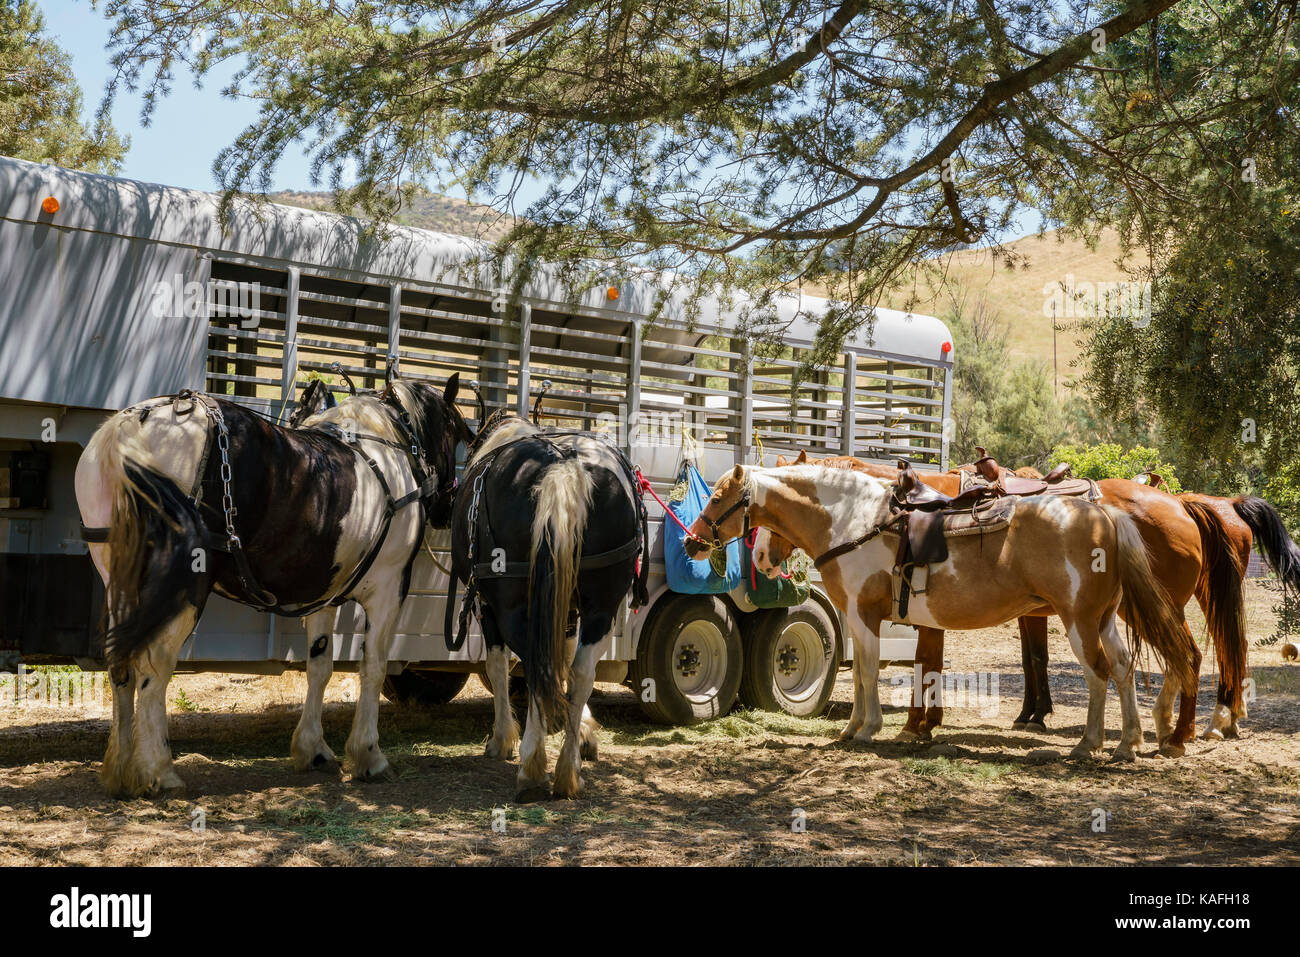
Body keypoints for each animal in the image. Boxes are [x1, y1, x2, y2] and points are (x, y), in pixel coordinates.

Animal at [74, 374, 473, 800]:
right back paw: (159, 769)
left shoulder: (325, 595)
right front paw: (368, 754)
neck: (389, 450)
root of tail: (134, 427)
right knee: (154, 666)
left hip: (119, 580)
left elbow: (320, 666)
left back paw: (120, 768)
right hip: (184, 585)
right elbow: (374, 667)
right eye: (456, 433)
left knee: (120, 663)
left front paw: (313, 749)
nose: (448, 506)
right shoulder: (388, 588)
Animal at [449, 413, 647, 800]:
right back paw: (568, 771)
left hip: (512, 605)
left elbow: (497, 665)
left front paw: (502, 739)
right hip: (602, 602)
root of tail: (564, 464)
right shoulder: (566, 608)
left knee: (532, 662)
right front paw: (582, 730)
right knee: (582, 670)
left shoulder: (487, 605)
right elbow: (566, 660)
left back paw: (531, 766)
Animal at [696, 465, 1201, 764]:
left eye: (718, 497)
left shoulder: (864, 614)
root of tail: (1106, 516)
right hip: (1105, 620)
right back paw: (1128, 743)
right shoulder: (860, 619)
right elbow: (860, 671)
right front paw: (853, 728)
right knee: (1123, 668)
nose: (693, 541)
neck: (856, 520)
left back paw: (1090, 744)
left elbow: (866, 671)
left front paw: (867, 729)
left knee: (1099, 673)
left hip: (1078, 621)